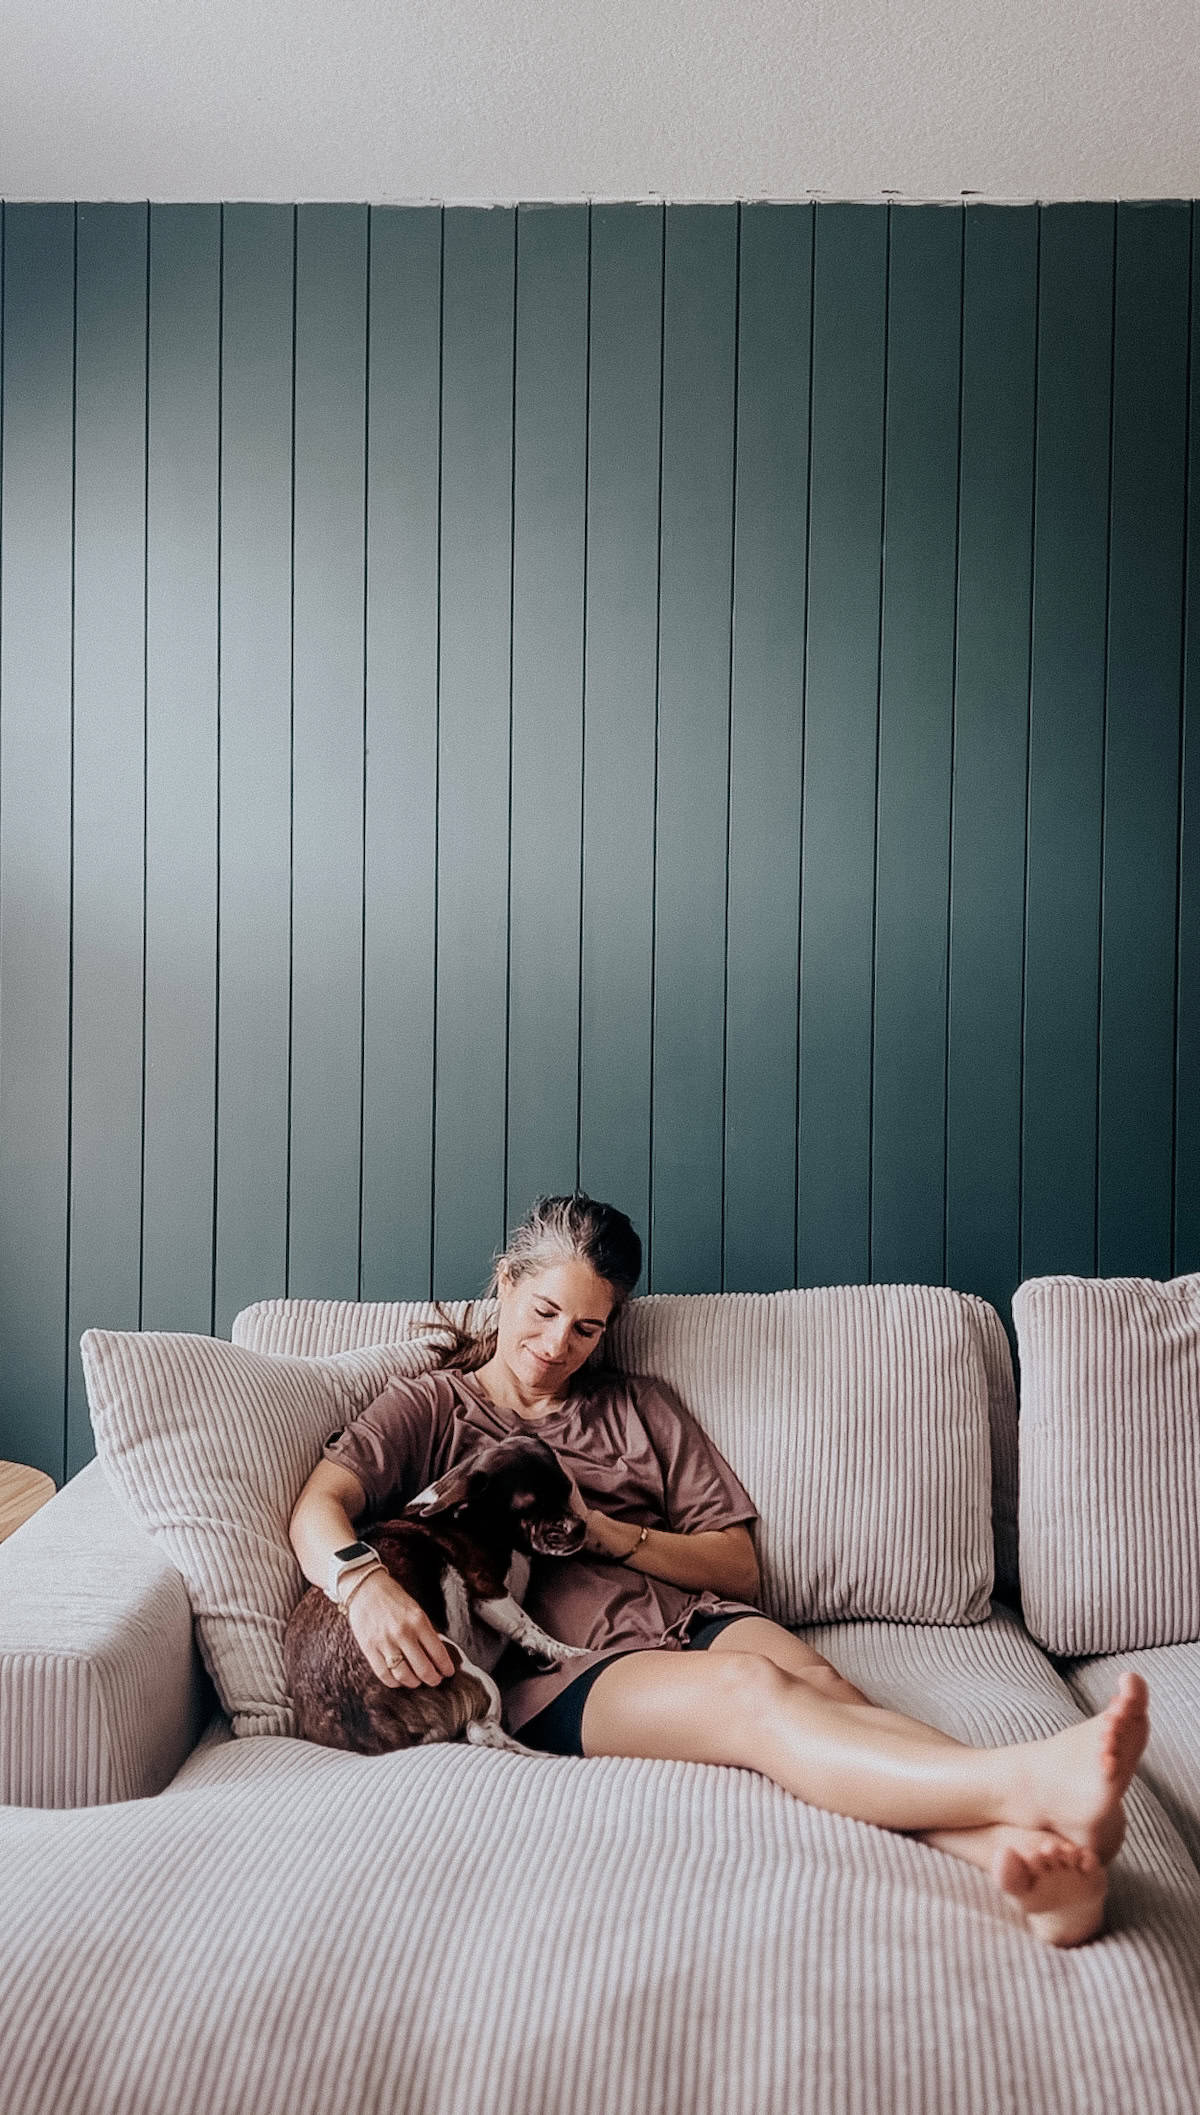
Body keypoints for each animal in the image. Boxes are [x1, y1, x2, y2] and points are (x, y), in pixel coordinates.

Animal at [285, 1438, 596, 1751]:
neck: (466, 1516)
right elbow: (529, 1627)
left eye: (567, 1490)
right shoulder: (487, 1590)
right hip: (465, 1670)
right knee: (480, 1730)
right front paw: (569, 1654)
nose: (580, 1527)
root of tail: (373, 1734)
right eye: (527, 1507)